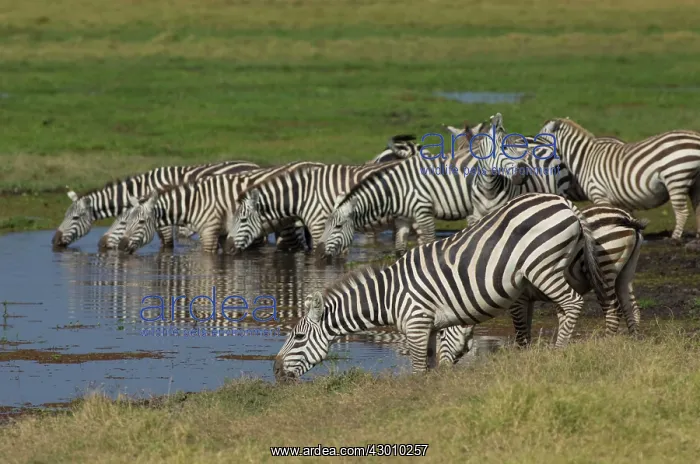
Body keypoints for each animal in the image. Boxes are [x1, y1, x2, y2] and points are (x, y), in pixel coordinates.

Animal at [52, 160, 259, 250]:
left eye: (75, 218)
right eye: (64, 216)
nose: (54, 241)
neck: (146, 187)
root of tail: (254, 165)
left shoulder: (164, 222)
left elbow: (167, 245)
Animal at [117, 163, 323, 254]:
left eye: (141, 222)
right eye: (126, 222)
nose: (121, 247)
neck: (195, 202)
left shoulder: (209, 232)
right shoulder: (224, 233)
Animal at [273, 193, 614, 380]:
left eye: (298, 337)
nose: (275, 371)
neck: (389, 296)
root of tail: (565, 202)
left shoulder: (416, 323)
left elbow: (417, 369)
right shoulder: (431, 327)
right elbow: (435, 363)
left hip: (542, 266)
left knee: (572, 303)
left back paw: (559, 351)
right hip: (562, 266)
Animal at [540, 117, 700, 243]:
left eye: (540, 136)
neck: (585, 159)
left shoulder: (599, 194)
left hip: (676, 177)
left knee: (682, 212)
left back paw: (674, 238)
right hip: (694, 183)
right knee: (697, 208)